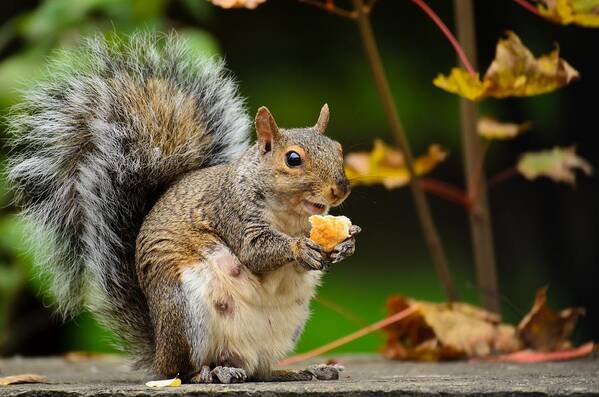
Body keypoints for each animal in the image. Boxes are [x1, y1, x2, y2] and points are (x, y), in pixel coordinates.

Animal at [5, 32, 360, 382]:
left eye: (338, 149)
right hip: (187, 312)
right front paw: (299, 247)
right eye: (293, 159)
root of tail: (159, 351)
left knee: (260, 370)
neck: (289, 216)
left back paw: (299, 370)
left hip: (286, 326)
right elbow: (254, 251)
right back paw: (211, 372)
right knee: (185, 370)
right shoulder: (230, 211)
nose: (340, 189)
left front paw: (347, 243)